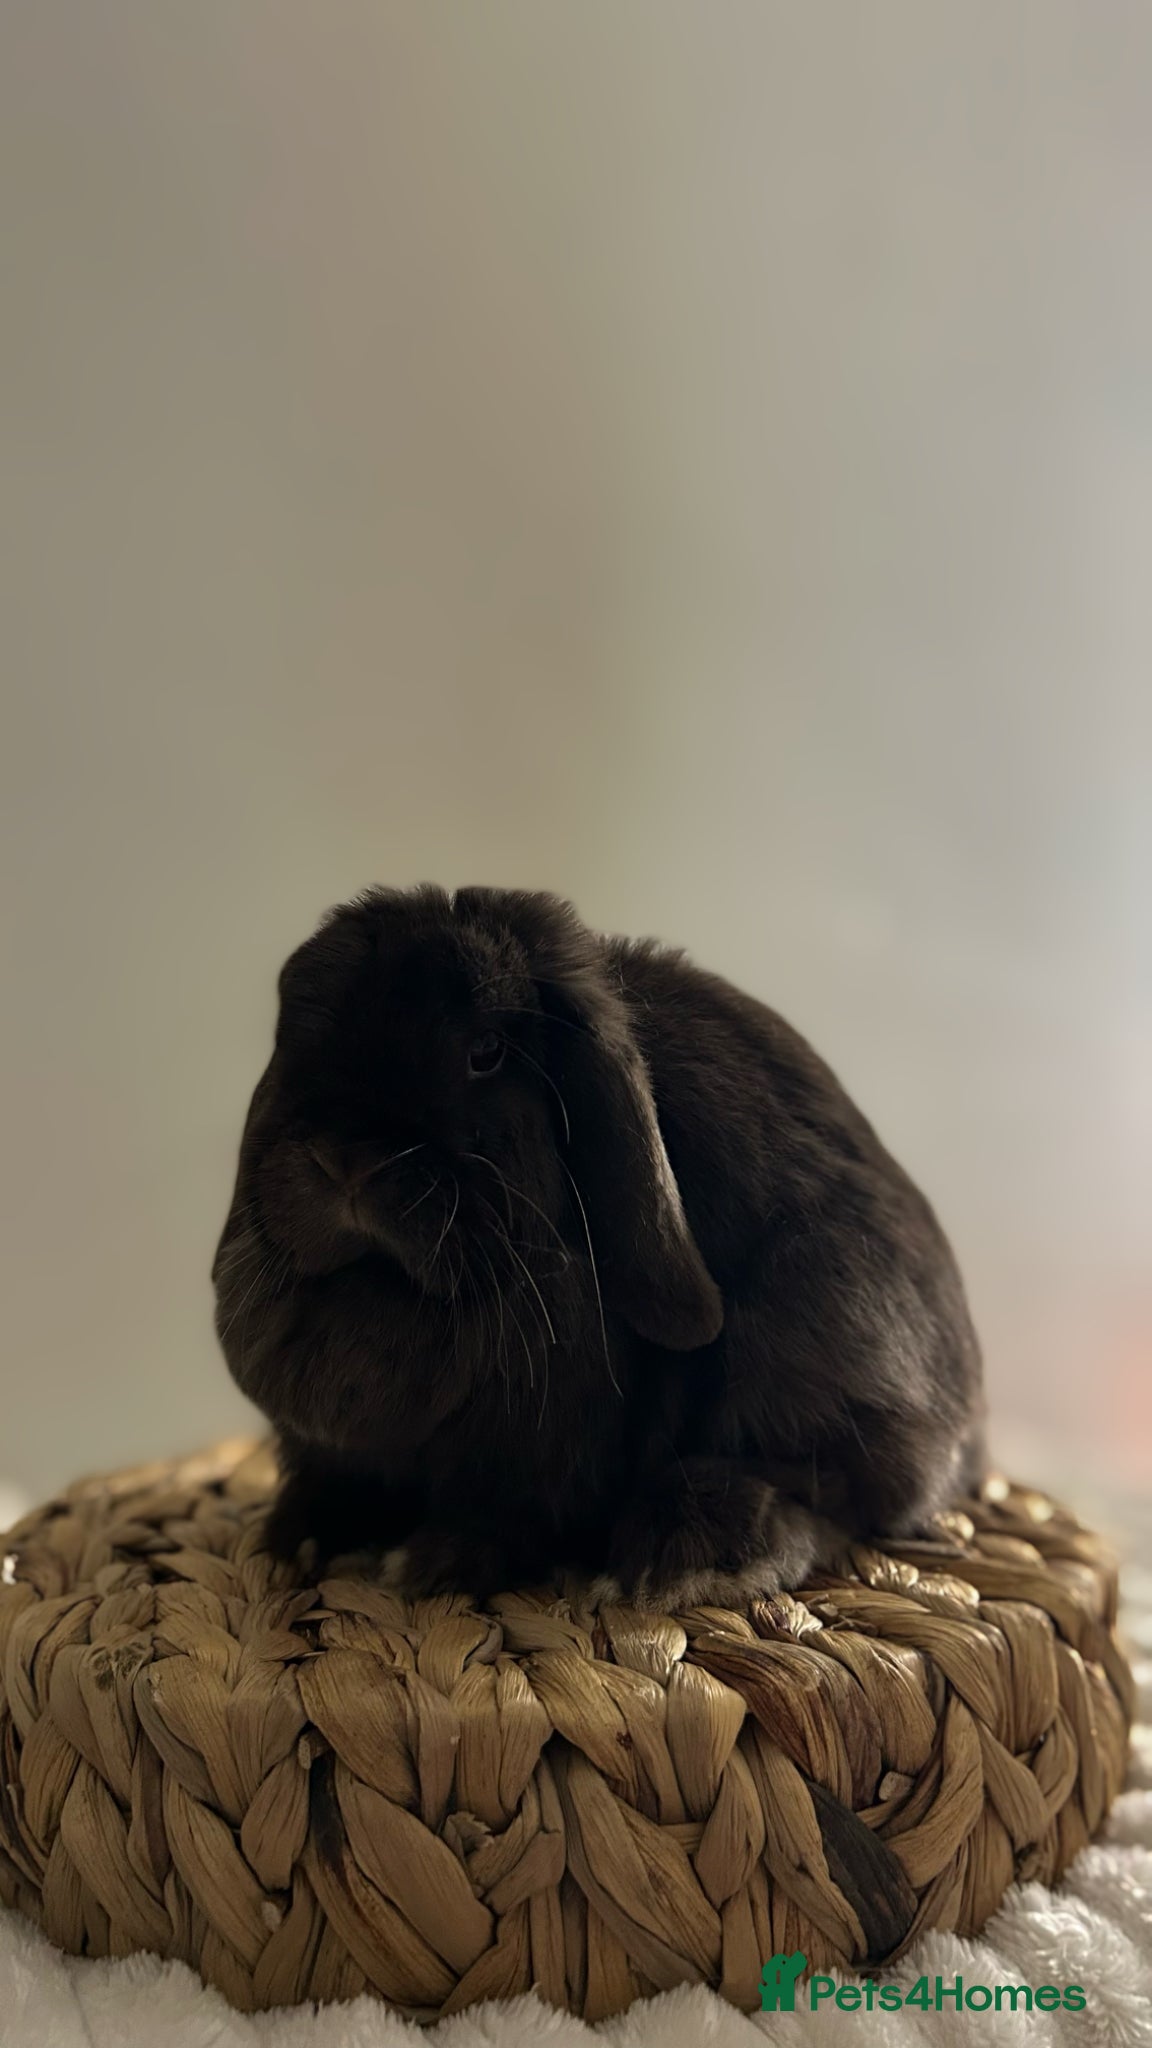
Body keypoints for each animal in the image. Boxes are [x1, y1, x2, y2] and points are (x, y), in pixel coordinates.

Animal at [213, 884, 985, 1607]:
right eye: (297, 1040)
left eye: (485, 1053)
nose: (345, 1160)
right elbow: (328, 1485)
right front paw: (292, 1538)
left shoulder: (533, 1457)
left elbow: (504, 1516)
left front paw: (435, 1565)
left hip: (819, 1326)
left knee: (835, 1492)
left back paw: (689, 1555)